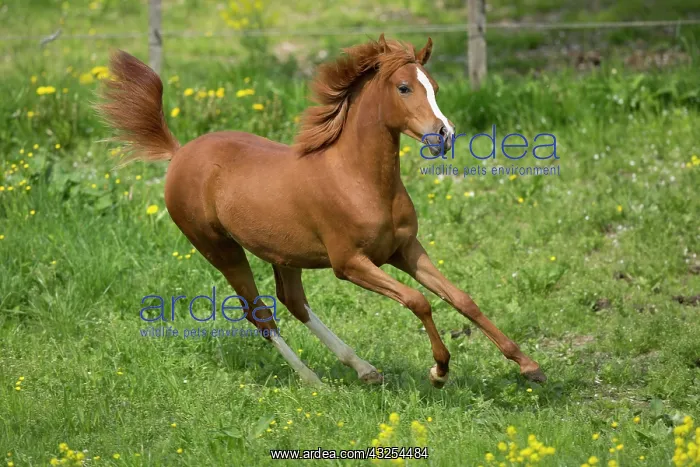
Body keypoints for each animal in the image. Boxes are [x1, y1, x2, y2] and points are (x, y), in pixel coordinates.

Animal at [97, 34, 546, 388]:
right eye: (404, 88)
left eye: (433, 86)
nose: (444, 135)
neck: (359, 180)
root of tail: (179, 152)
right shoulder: (350, 263)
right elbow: (418, 300)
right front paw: (439, 371)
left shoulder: (405, 250)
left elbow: (462, 299)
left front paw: (529, 366)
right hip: (219, 249)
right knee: (260, 314)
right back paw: (314, 381)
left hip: (283, 254)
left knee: (292, 301)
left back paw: (364, 369)